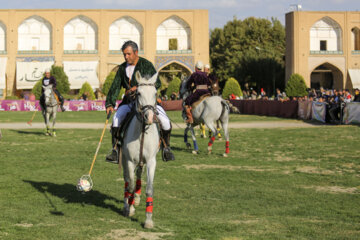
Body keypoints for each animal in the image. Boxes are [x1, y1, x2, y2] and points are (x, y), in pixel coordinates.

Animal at [120, 71, 160, 229]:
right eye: (138, 93)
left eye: (155, 93)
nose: (149, 117)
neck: (143, 130)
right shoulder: (130, 160)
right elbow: (130, 185)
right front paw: (129, 208)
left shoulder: (151, 161)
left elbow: (149, 188)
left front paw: (148, 220)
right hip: (124, 158)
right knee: (127, 180)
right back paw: (128, 203)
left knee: (138, 177)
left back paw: (136, 199)